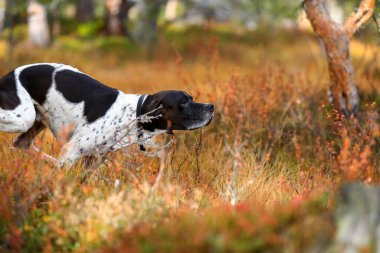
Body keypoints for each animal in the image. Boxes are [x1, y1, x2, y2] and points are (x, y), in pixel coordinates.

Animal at [0, 62, 214, 168]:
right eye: (183, 102)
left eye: (191, 98)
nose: (211, 106)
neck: (131, 114)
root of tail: (7, 76)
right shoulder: (72, 150)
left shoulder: (92, 160)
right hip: (23, 116)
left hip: (36, 121)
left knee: (21, 143)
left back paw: (51, 162)